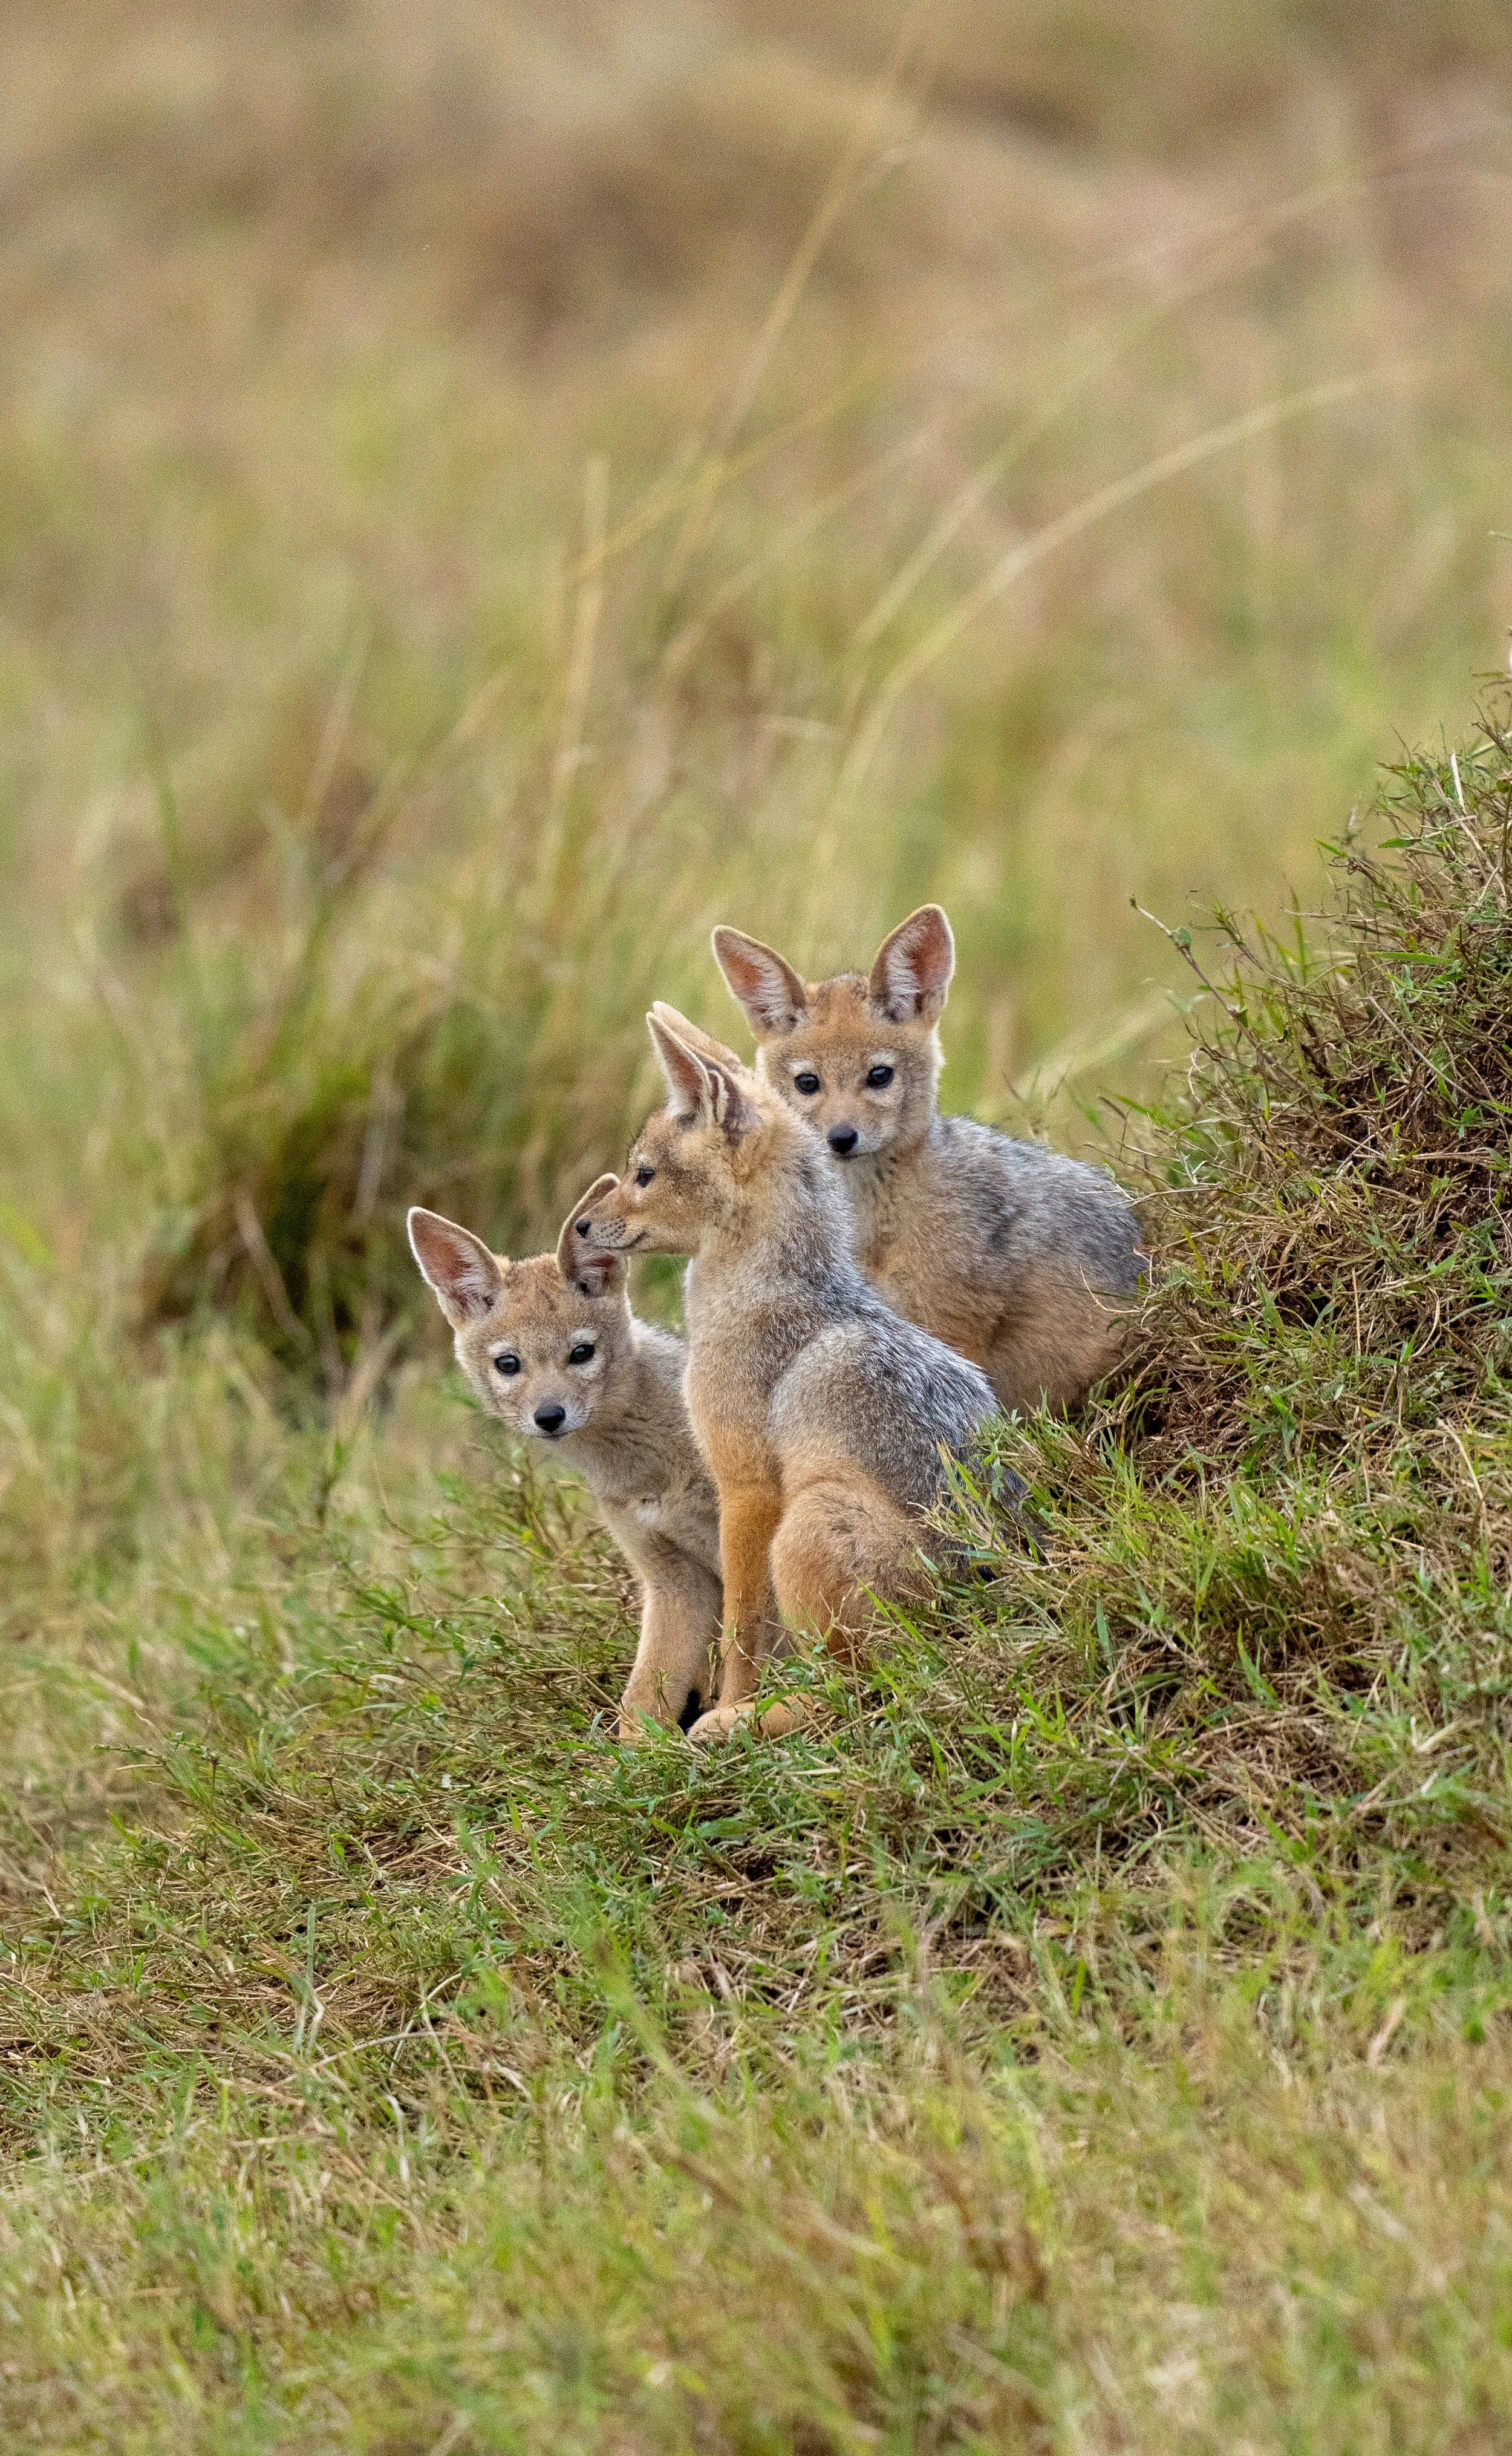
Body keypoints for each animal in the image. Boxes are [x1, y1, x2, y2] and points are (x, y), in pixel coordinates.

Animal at [408, 1181, 721, 1739]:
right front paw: (643, 1755)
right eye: (509, 1364)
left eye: (581, 1353)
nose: (549, 1416)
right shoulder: (671, 1579)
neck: (648, 1466)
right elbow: (642, 1699)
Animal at [567, 1009, 997, 1742]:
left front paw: (732, 1701)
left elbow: (741, 1626)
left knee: (869, 1687)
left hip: (812, 1516)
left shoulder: (746, 1489)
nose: (581, 1226)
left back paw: (743, 1722)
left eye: (643, 1174)